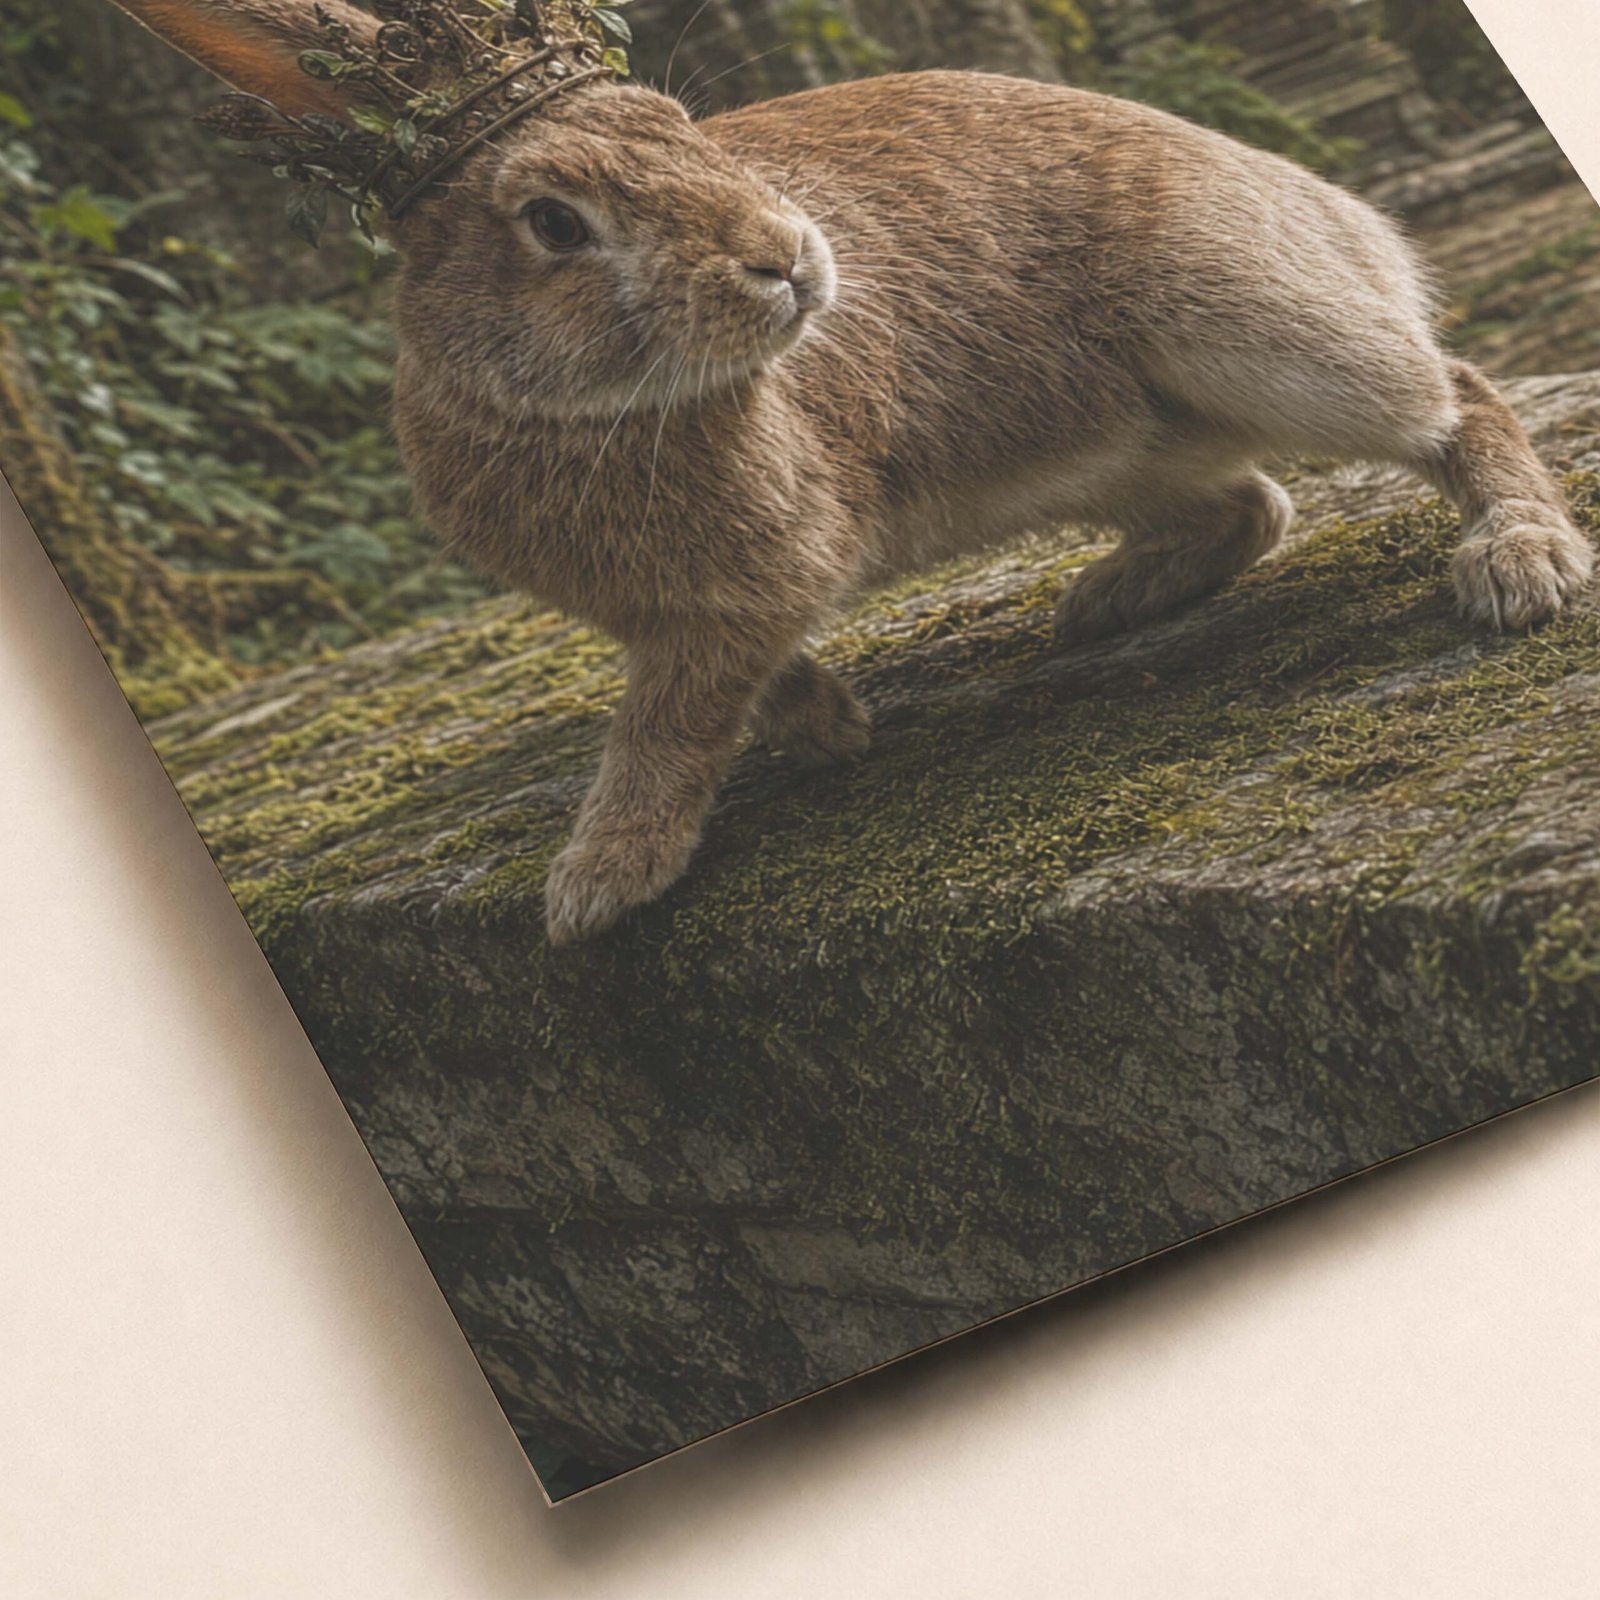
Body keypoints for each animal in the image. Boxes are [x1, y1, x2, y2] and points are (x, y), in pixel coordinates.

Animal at [110, 2, 1596, 945]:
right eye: (552, 222)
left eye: (683, 124)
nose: (790, 259)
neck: (577, 405)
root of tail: (1348, 225)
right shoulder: (679, 606)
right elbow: (731, 686)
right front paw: (821, 726)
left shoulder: (744, 585)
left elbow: (666, 722)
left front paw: (596, 886)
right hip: (1102, 451)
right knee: (1256, 501)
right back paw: (1105, 605)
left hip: (1249, 329)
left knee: (1452, 400)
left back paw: (1517, 562)